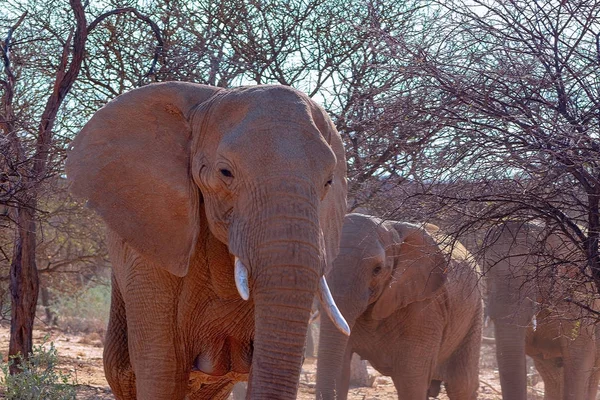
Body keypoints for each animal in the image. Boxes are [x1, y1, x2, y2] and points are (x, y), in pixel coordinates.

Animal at [314, 216, 482, 400]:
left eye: (377, 270)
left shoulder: (425, 308)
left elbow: (411, 381)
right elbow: (341, 369)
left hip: (474, 315)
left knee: (461, 385)